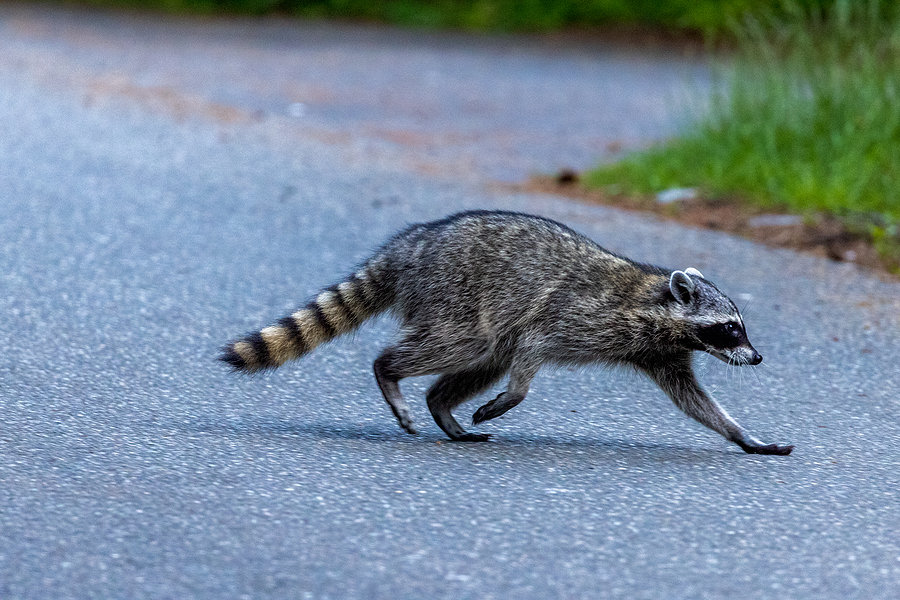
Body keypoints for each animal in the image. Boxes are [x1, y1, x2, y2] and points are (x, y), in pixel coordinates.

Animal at [221, 211, 792, 454]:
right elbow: (532, 351)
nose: (758, 358)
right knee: (463, 345)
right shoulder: (579, 315)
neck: (658, 303)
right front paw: (515, 395)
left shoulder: (662, 353)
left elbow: (693, 399)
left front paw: (742, 434)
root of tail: (412, 245)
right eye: (729, 330)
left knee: (484, 357)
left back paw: (441, 407)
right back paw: (390, 374)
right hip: (454, 295)